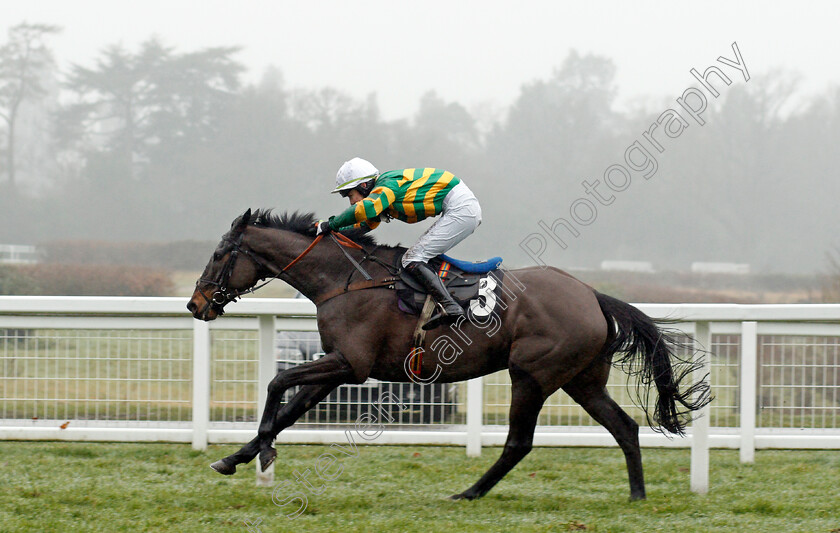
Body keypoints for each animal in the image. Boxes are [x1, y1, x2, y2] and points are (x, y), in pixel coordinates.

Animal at [189, 208, 708, 498]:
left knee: (520, 443)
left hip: (532, 375)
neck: (344, 280)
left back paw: (470, 492)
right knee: (624, 428)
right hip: (582, 380)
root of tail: (592, 295)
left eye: (217, 255)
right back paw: (637, 495)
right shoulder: (339, 369)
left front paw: (263, 452)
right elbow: (289, 408)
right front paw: (235, 458)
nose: (196, 304)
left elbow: (277, 384)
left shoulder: (350, 364)